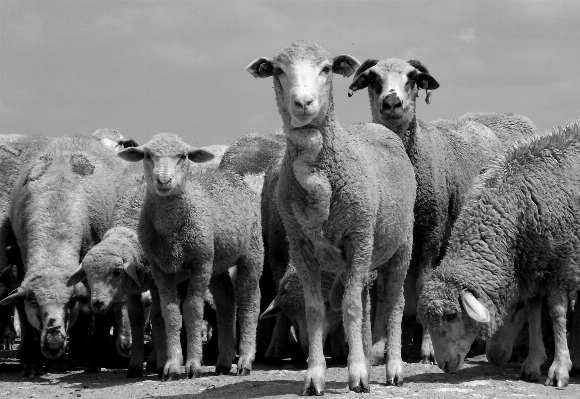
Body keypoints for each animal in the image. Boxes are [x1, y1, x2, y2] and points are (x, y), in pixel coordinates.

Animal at [0, 136, 135, 376]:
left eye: (71, 302)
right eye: (33, 300)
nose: (54, 344)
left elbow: (90, 315)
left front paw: (91, 360)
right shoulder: (22, 269)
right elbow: (25, 319)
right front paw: (32, 362)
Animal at [118, 134, 262, 382]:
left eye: (183, 156)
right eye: (147, 155)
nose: (163, 180)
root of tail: (231, 176)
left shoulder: (199, 263)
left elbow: (193, 309)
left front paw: (193, 365)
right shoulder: (160, 268)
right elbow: (170, 312)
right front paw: (172, 366)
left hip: (250, 250)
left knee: (249, 300)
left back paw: (245, 360)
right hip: (216, 260)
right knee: (226, 300)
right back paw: (224, 361)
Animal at [246, 40, 416, 394]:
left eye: (326, 69)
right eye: (278, 70)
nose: (303, 102)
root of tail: (376, 127)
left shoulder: (358, 237)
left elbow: (351, 307)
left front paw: (358, 375)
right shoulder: (301, 246)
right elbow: (316, 309)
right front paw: (315, 376)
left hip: (400, 244)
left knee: (394, 301)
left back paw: (393, 368)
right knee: (356, 297)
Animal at [344, 57, 540, 364]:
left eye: (412, 78)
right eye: (373, 78)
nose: (391, 102)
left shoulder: (431, 236)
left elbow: (422, 286)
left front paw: (427, 349)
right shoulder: (394, 237)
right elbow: (385, 290)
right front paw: (377, 348)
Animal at [420, 120, 580, 390]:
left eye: (452, 315)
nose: (444, 365)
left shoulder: (563, 262)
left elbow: (556, 312)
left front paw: (559, 368)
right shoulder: (531, 267)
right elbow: (533, 310)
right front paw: (532, 364)